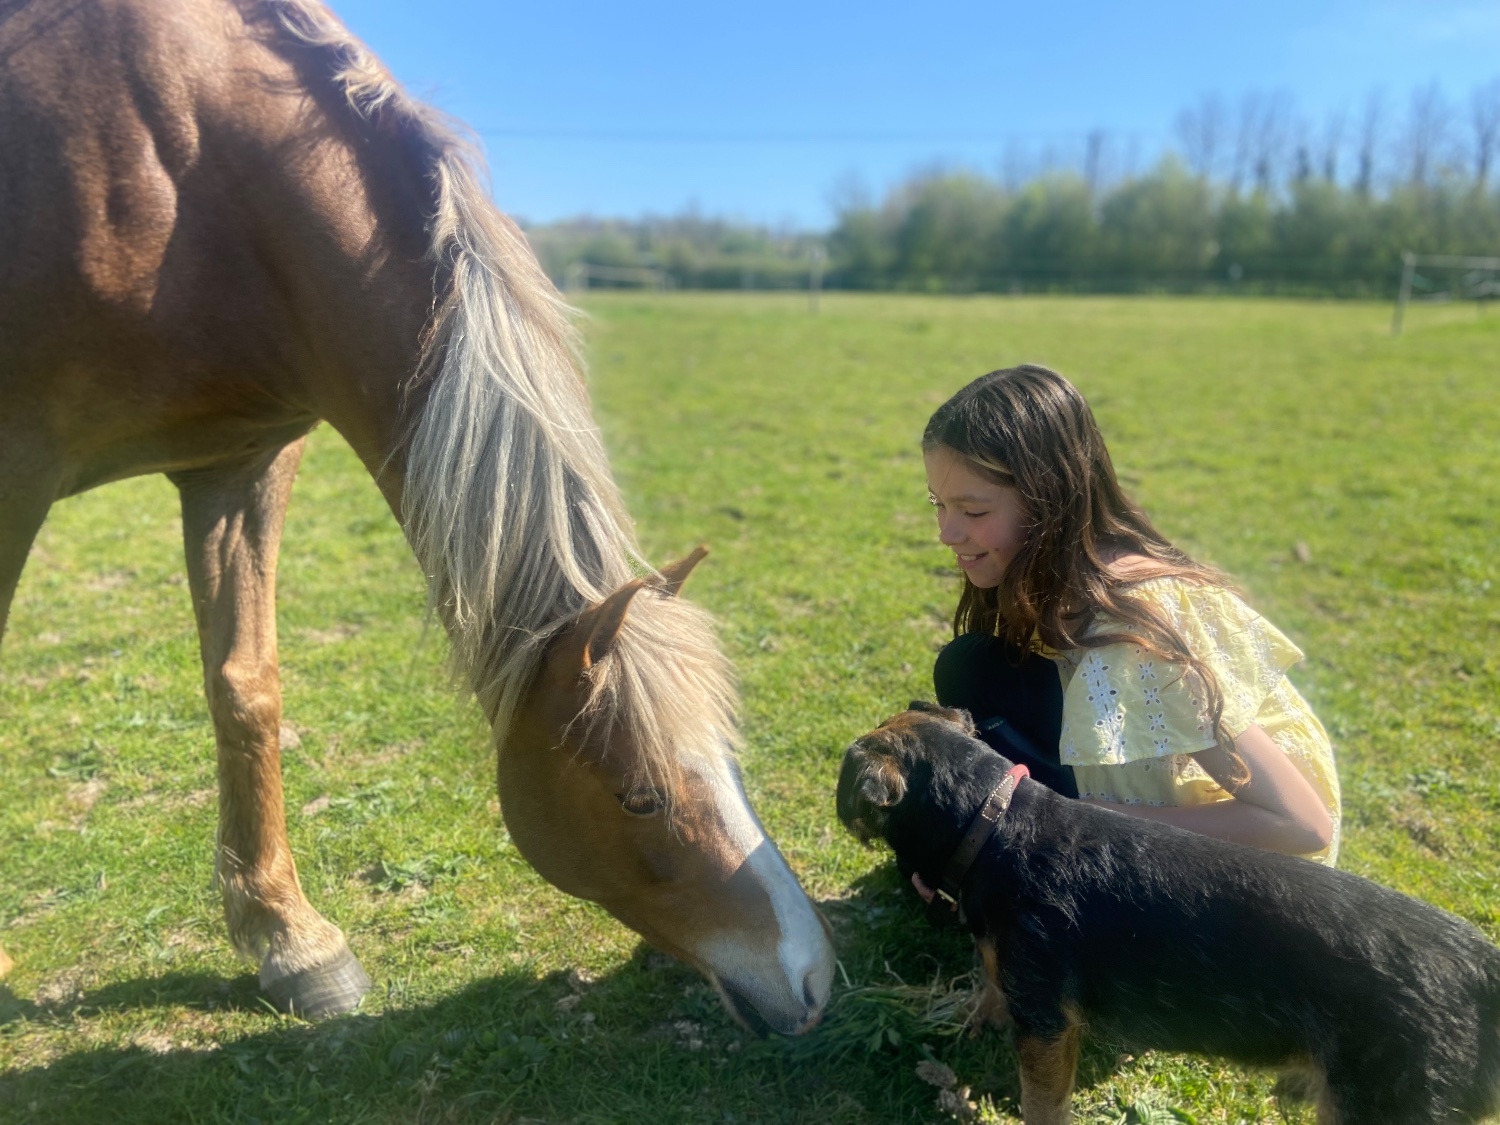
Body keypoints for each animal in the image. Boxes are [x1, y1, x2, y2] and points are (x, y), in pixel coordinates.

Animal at [0, 0, 835, 1033]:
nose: (812, 976)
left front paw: (290, 939)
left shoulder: (240, 463)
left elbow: (246, 687)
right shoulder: (17, 469)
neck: (196, 189)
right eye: (640, 797)